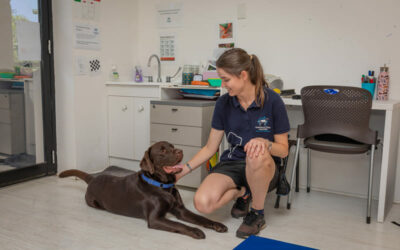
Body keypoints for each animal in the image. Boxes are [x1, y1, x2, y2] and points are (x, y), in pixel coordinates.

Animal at [59, 141, 228, 238]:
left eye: (173, 147)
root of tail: (93, 178)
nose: (180, 151)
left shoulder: (181, 210)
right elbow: (179, 225)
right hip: (94, 203)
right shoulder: (155, 219)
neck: (162, 186)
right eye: (163, 151)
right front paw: (195, 231)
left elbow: (201, 218)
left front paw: (217, 225)